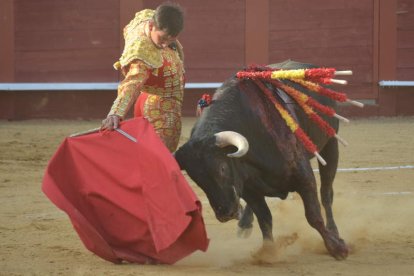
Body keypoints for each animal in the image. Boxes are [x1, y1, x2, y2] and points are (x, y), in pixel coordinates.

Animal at [175, 59, 350, 258]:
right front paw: (267, 252)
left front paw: (337, 247)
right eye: (196, 179)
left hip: (331, 145)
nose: (225, 213)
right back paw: (244, 224)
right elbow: (265, 219)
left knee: (327, 194)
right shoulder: (248, 188)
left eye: (222, 168)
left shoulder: (303, 175)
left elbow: (313, 215)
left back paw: (334, 230)